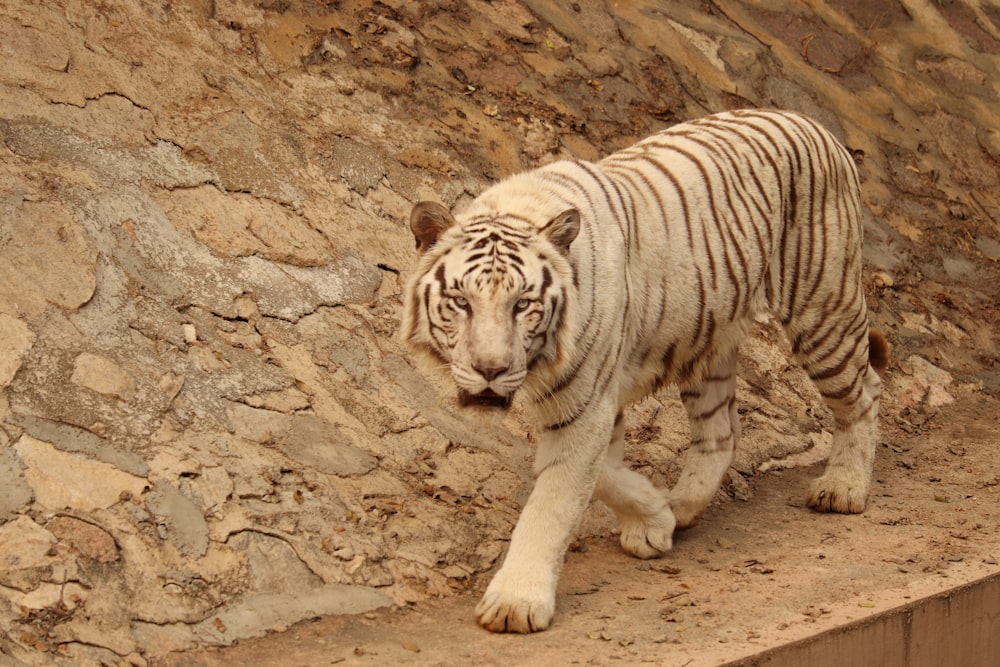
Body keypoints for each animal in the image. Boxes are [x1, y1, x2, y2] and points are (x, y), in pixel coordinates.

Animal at [402, 108, 888, 632]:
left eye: (523, 305)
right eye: (461, 302)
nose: (490, 369)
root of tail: (812, 122)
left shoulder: (586, 401)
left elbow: (555, 499)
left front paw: (516, 603)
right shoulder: (597, 399)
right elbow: (604, 475)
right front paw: (654, 519)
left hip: (823, 310)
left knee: (865, 393)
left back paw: (843, 488)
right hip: (708, 339)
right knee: (721, 430)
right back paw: (683, 506)